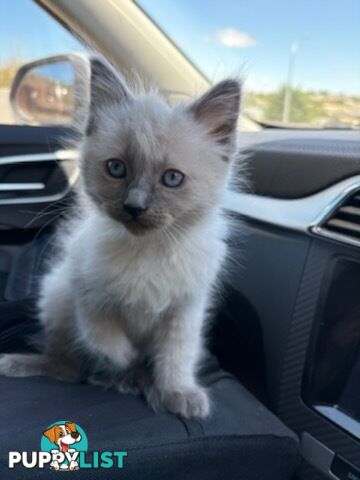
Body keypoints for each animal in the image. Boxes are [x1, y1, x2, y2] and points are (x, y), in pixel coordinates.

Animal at [0, 58, 242, 418]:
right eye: (116, 168)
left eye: (172, 179)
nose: (134, 207)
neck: (148, 250)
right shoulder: (87, 294)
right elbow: (108, 340)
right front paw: (129, 362)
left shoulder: (185, 309)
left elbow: (176, 355)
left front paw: (177, 392)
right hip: (56, 296)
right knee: (66, 367)